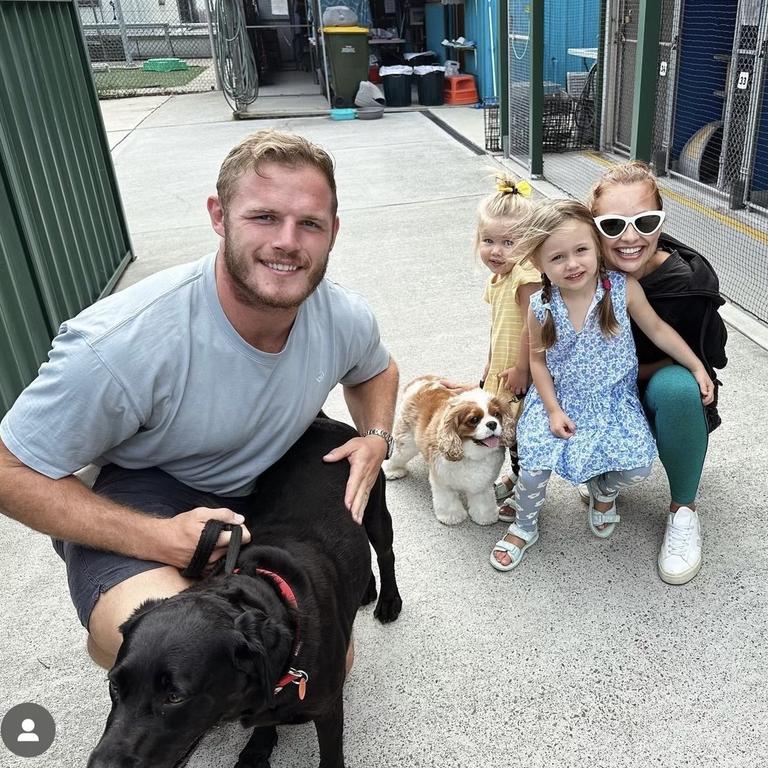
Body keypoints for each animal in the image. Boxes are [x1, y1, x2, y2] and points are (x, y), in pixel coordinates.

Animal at [384, 376, 516, 524]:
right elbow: (448, 499)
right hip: (406, 442)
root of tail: (423, 379)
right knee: (396, 455)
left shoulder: (482, 483)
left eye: (496, 414)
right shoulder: (442, 480)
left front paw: (485, 516)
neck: (471, 453)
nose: (492, 424)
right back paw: (392, 471)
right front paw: (452, 516)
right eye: (474, 419)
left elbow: (483, 499)